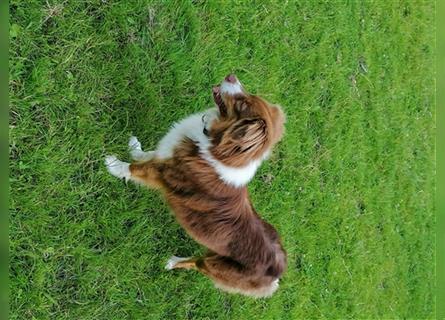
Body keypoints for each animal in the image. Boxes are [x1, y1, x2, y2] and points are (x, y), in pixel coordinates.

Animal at [104, 74, 286, 298]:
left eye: (242, 105)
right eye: (248, 94)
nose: (231, 76)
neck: (218, 148)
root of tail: (277, 275)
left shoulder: (162, 173)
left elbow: (134, 168)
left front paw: (113, 165)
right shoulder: (167, 157)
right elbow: (148, 155)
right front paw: (135, 148)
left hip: (216, 267)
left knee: (196, 264)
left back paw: (172, 262)